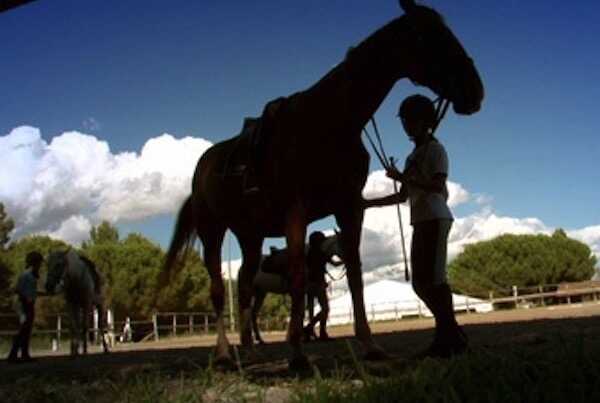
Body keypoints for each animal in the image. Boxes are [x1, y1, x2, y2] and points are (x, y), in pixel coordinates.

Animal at [164, 0, 482, 370]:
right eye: (431, 35)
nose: (476, 90)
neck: (328, 122)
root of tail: (202, 167)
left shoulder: (350, 208)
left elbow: (356, 275)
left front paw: (370, 345)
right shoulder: (296, 213)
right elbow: (299, 278)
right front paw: (297, 352)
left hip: (250, 235)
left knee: (242, 286)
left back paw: (251, 351)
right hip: (212, 231)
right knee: (217, 289)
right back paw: (225, 353)